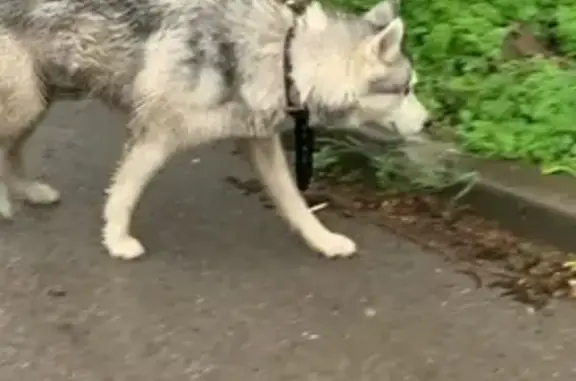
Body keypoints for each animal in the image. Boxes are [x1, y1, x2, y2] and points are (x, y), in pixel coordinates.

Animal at [0, 0, 428, 258]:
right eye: (406, 89)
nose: (429, 122)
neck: (285, 58)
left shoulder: (260, 141)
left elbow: (295, 204)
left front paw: (323, 241)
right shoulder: (155, 134)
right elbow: (123, 195)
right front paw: (117, 241)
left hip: (40, 101)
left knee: (10, 153)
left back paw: (27, 191)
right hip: (28, 104)